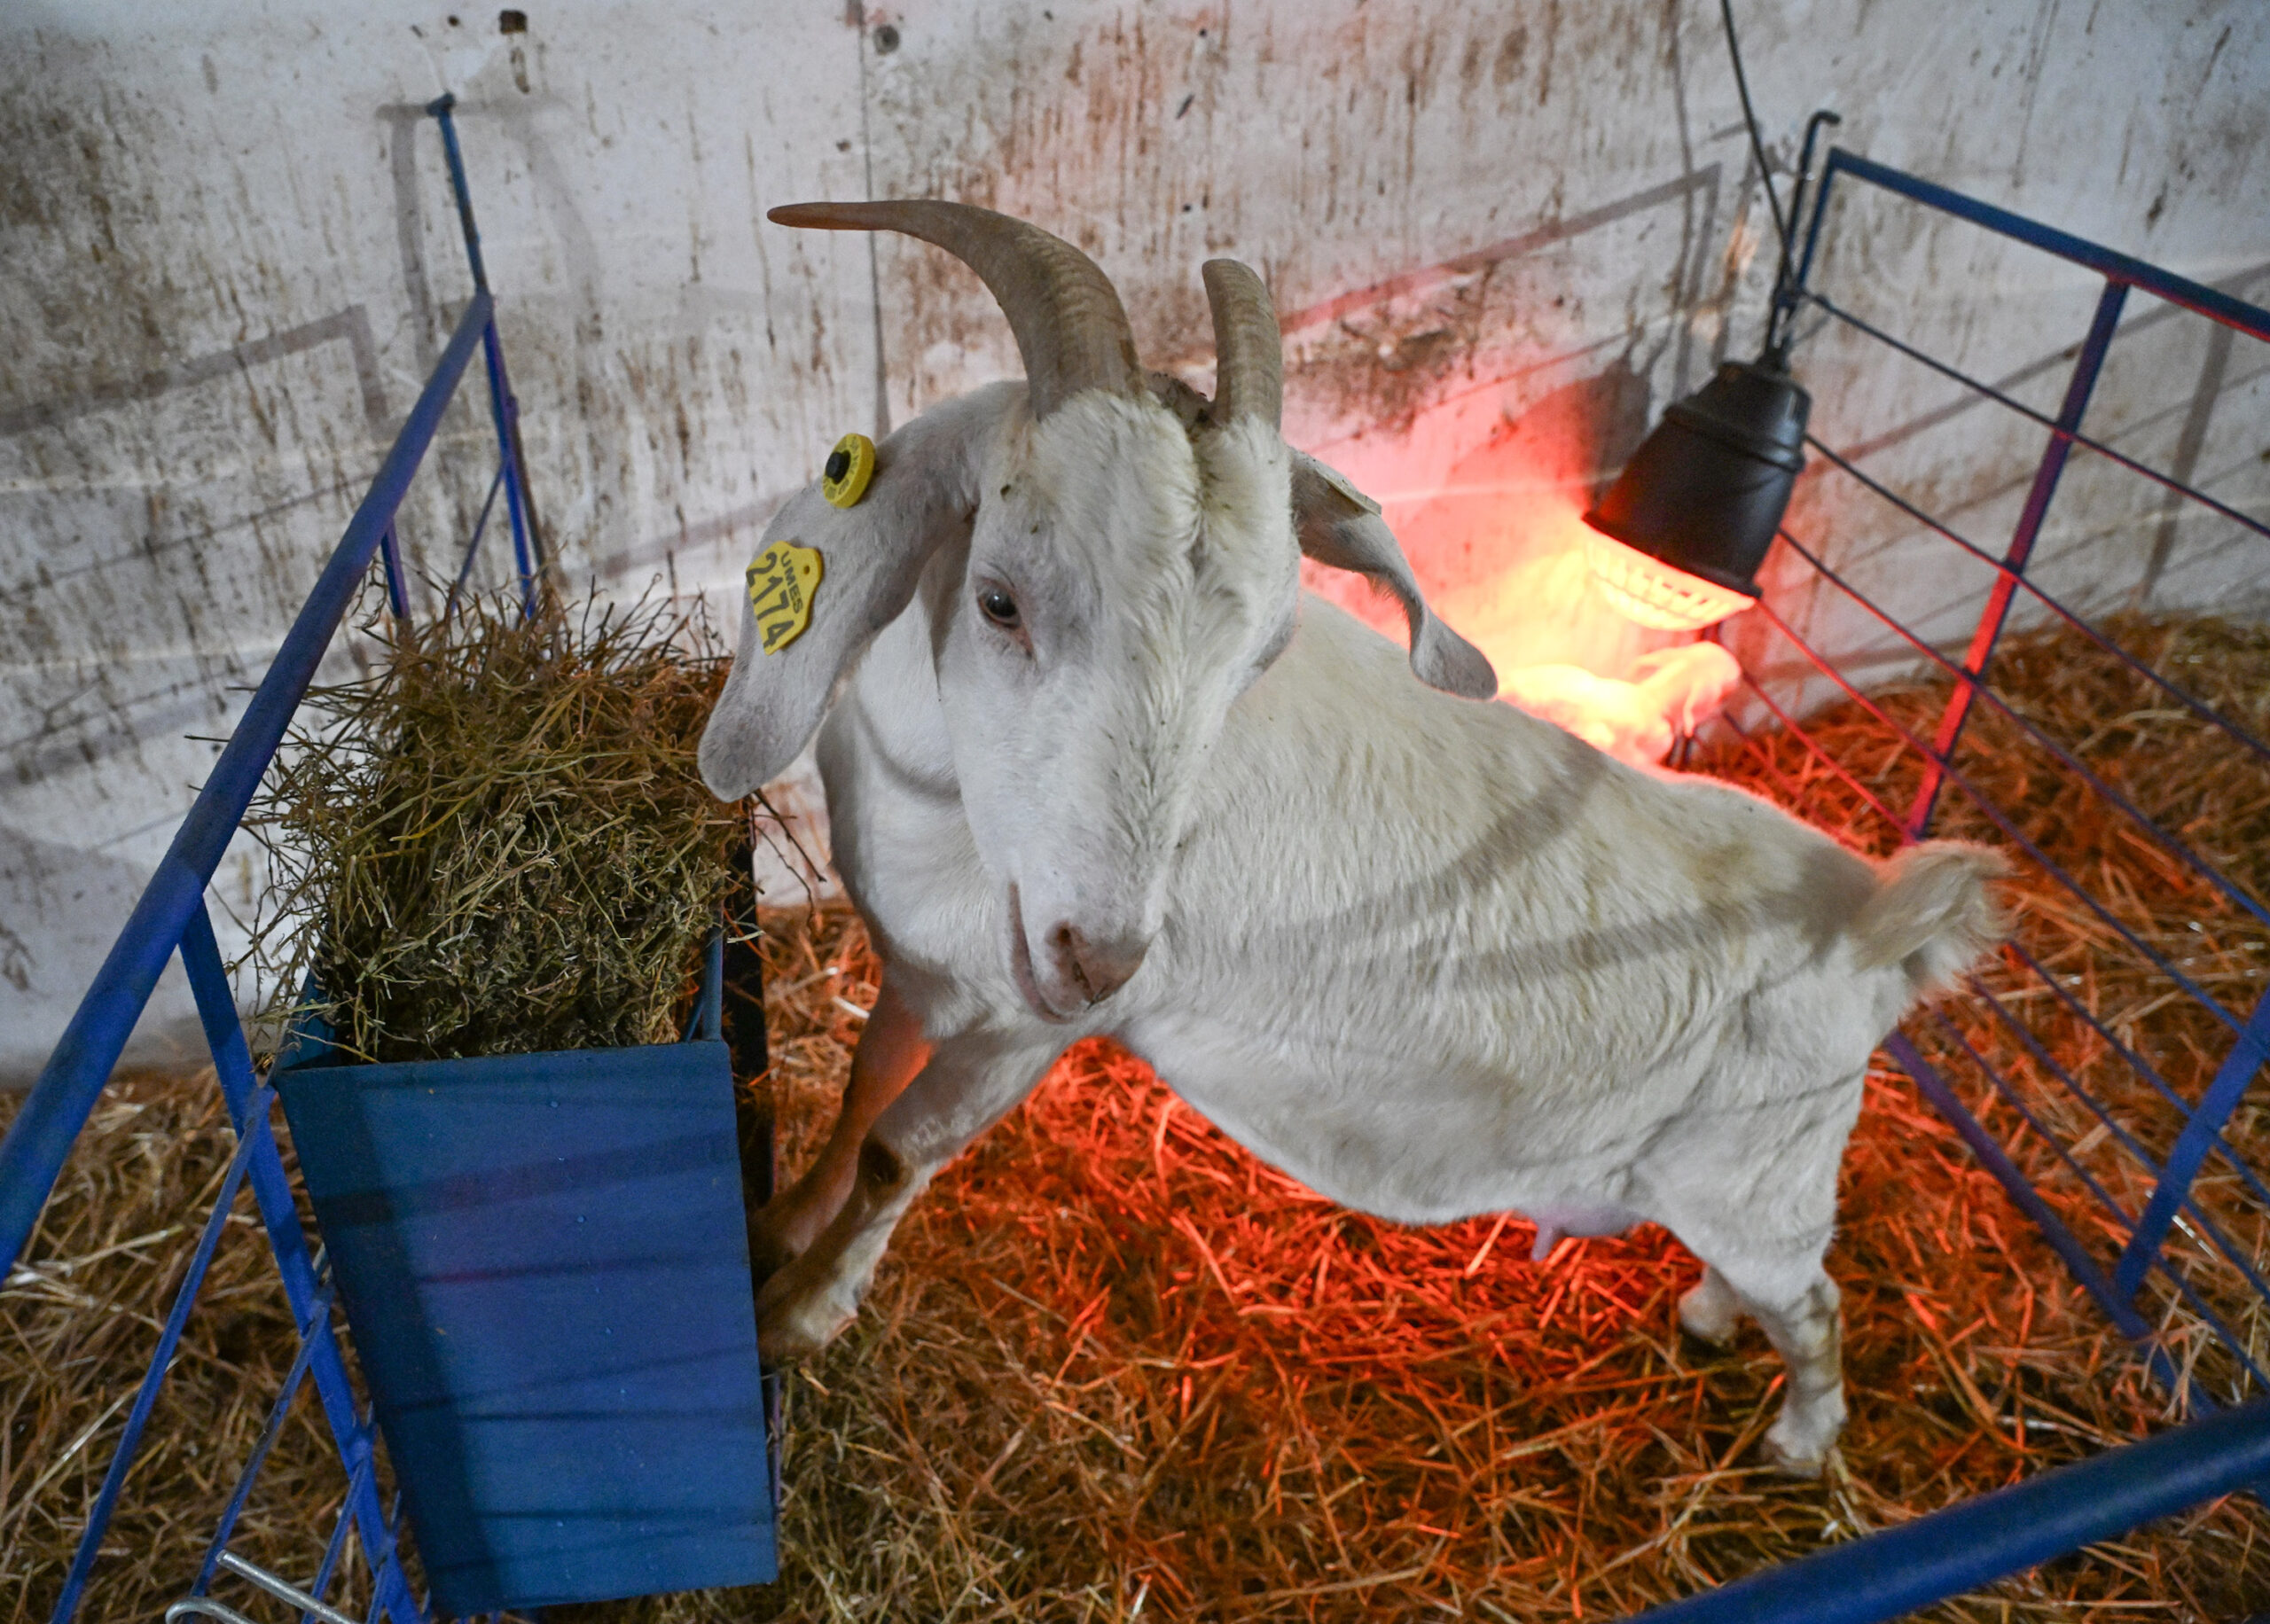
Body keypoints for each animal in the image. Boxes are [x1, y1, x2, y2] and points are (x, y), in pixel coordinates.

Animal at [697, 201, 2004, 1476]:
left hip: (1762, 1174)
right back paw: (1708, 1320)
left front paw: (789, 1318)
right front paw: (775, 1228)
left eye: (1259, 657)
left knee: (1818, 1304)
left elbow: (898, 1151)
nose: (1099, 954)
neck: (951, 813)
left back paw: (1800, 1441)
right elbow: (860, 1093)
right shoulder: (928, 972)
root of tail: (1872, 920)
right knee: (1766, 1283)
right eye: (998, 599)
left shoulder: (1026, 1026)